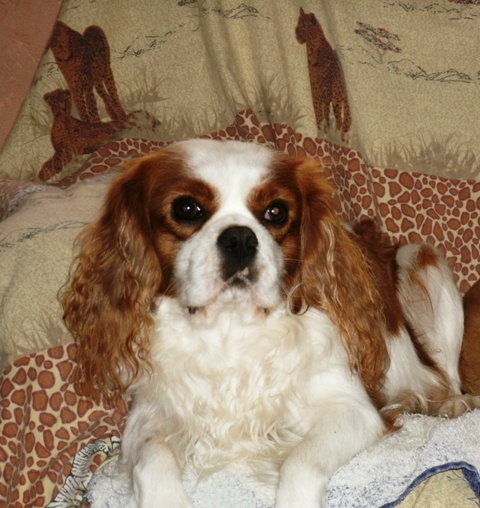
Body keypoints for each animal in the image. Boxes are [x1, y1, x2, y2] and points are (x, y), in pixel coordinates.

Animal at [62, 139, 479, 507]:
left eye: (276, 212)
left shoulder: (354, 411)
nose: (240, 238)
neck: (231, 328)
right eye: (186, 208)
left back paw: (451, 404)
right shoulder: (147, 417)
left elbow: (300, 462)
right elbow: (153, 458)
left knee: (445, 376)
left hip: (421, 260)